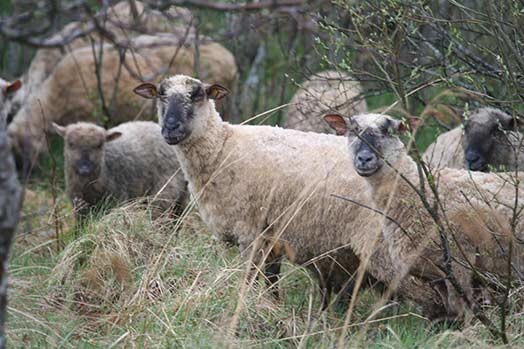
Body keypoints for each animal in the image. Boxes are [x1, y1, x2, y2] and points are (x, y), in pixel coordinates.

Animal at [50, 120, 188, 220]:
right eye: (70, 144)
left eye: (99, 145)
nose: (85, 169)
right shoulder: (79, 206)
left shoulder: (117, 200)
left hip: (165, 191)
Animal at [326, 113, 524, 320]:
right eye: (353, 130)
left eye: (389, 131)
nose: (364, 158)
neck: (415, 190)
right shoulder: (434, 274)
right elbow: (452, 309)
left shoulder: (459, 262)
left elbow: (463, 310)